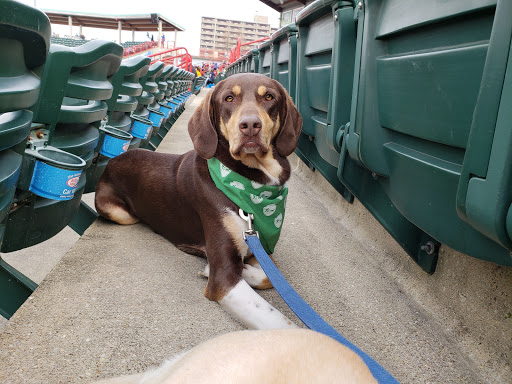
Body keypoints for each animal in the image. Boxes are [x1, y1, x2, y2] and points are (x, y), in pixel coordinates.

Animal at [95, 73, 302, 328]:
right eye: (229, 98)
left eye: (269, 97)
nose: (250, 125)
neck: (252, 182)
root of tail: (113, 160)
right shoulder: (224, 281)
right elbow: (282, 325)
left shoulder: (258, 247)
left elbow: (269, 277)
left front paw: (240, 269)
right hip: (120, 213)